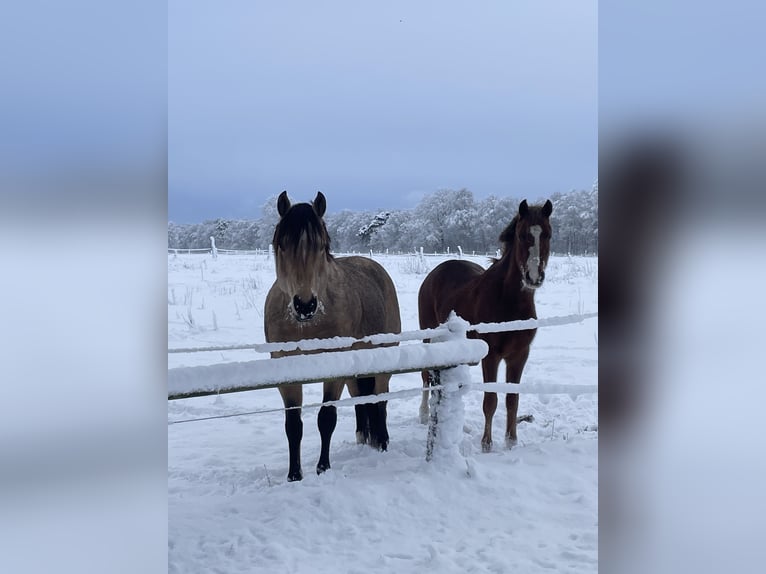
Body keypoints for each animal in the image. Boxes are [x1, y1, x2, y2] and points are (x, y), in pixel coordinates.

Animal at [264, 191, 402, 481]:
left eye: (321, 246)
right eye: (282, 245)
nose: (305, 305)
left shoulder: (335, 368)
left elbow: (326, 418)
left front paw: (323, 468)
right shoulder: (286, 370)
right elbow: (293, 425)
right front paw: (294, 475)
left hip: (382, 358)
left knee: (380, 397)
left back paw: (382, 441)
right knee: (362, 398)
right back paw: (364, 437)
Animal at [417, 199, 553, 452]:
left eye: (547, 234)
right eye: (521, 235)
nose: (533, 277)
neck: (508, 301)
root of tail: (434, 273)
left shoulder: (519, 356)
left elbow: (512, 400)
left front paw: (511, 442)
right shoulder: (491, 356)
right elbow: (490, 400)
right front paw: (486, 445)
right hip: (428, 337)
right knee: (425, 376)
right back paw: (423, 414)